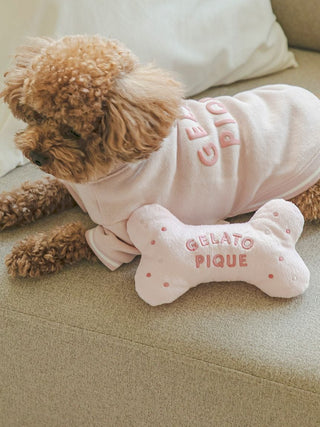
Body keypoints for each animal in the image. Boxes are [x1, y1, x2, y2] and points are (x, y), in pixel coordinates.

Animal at [0, 35, 320, 280]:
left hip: (305, 193)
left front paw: (29, 253)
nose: (35, 156)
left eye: (72, 131)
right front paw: (6, 207)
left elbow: (73, 236)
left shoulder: (118, 238)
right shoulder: (72, 185)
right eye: (37, 113)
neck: (106, 171)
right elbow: (37, 191)